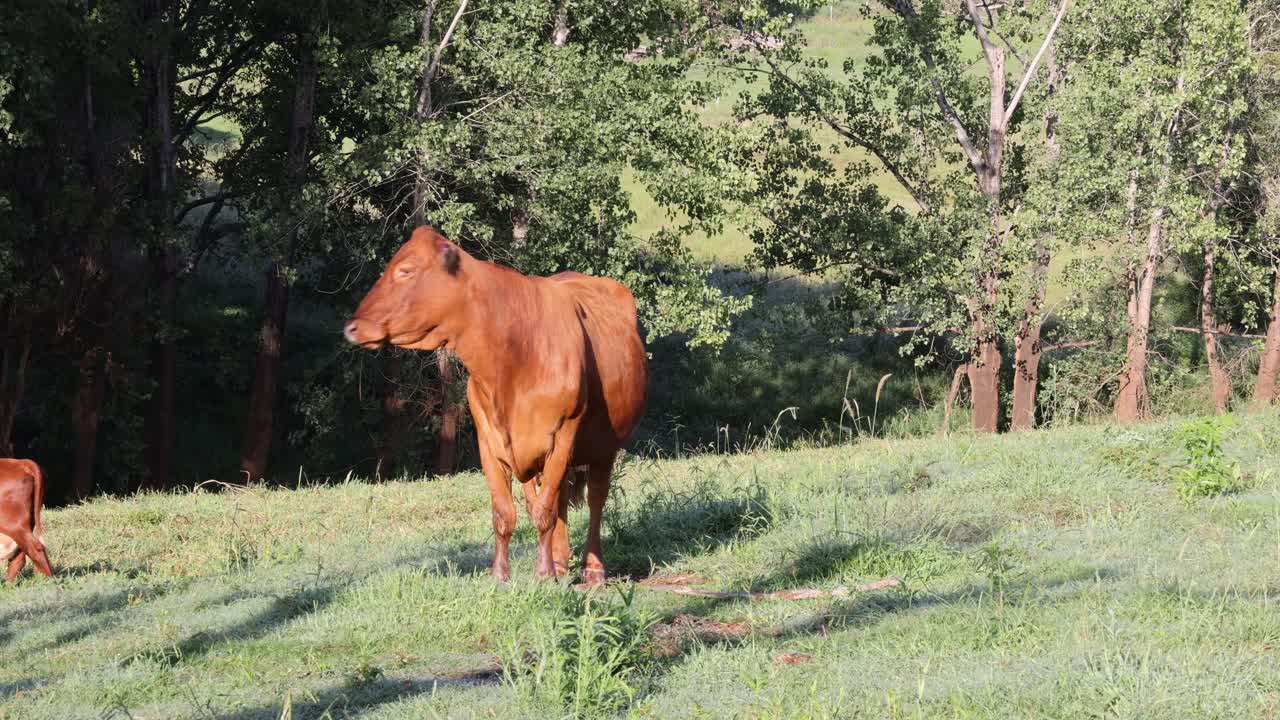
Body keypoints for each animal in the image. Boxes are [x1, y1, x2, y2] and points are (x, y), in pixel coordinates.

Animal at [344, 226, 648, 583]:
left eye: (405, 270)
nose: (351, 327)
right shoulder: (489, 440)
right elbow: (506, 512)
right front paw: (501, 575)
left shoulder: (563, 435)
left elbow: (545, 511)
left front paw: (543, 574)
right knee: (555, 499)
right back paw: (561, 561)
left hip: (604, 446)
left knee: (596, 499)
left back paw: (593, 568)